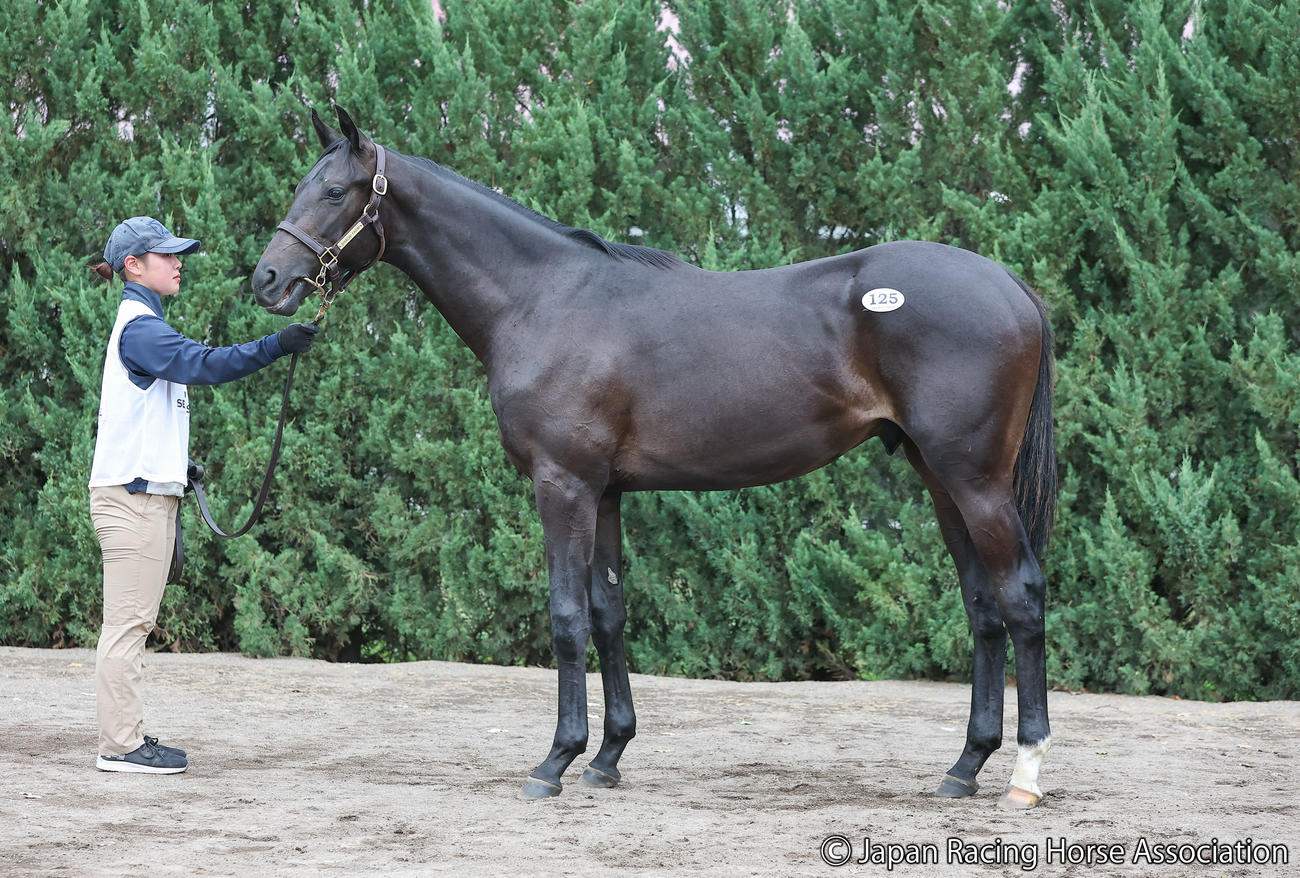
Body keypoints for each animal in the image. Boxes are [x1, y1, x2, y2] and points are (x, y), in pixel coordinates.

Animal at [252, 106, 1058, 810]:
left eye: (334, 191)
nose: (267, 281)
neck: (542, 299)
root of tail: (1010, 283)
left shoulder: (563, 485)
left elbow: (567, 617)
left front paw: (553, 762)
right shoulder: (605, 492)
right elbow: (610, 613)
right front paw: (607, 756)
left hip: (975, 480)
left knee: (1019, 594)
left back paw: (1026, 771)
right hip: (937, 478)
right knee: (982, 605)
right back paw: (964, 767)